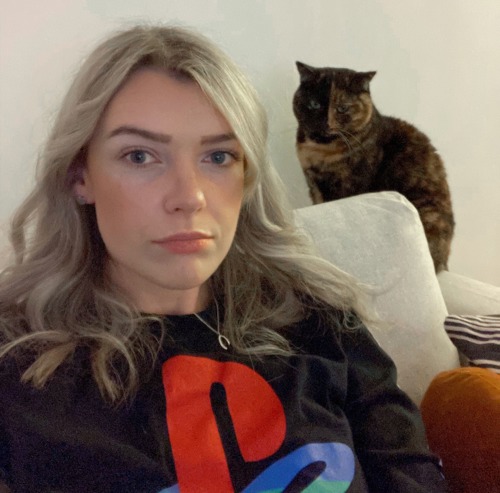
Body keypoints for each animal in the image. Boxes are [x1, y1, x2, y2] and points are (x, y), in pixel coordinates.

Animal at [292, 61, 456, 270]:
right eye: (314, 104)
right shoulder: (314, 185)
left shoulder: (348, 185)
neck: (319, 151)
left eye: (342, 108)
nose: (326, 123)